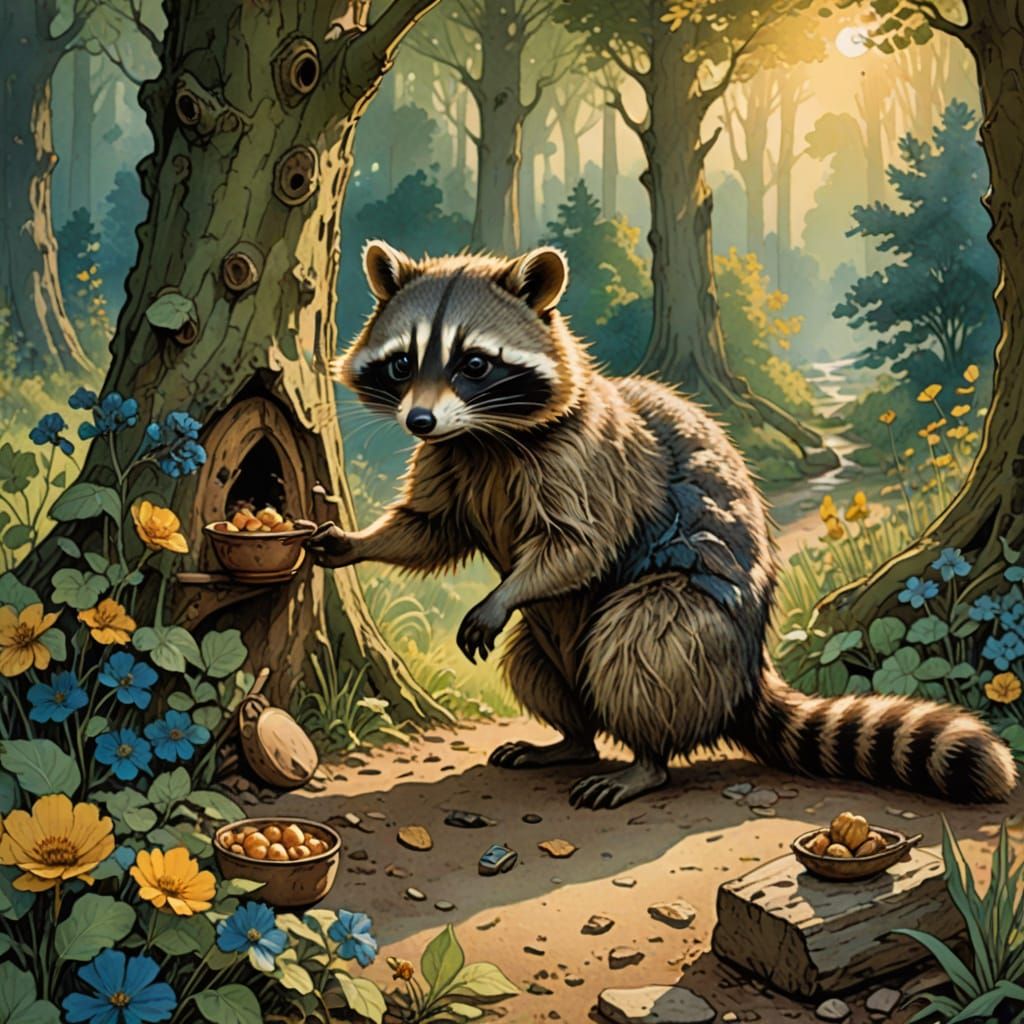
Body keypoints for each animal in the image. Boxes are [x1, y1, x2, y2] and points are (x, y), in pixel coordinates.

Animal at [307, 240, 1018, 809]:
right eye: (403, 362)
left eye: (474, 363)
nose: (418, 421)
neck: (483, 436)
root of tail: (746, 678)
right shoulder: (449, 459)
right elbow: (427, 527)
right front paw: (356, 541)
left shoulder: (591, 460)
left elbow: (579, 547)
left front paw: (502, 594)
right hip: (560, 648)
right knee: (539, 666)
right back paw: (571, 738)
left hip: (699, 625)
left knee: (641, 642)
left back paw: (645, 760)